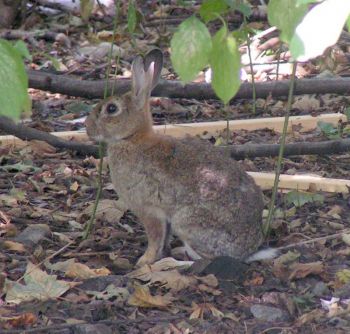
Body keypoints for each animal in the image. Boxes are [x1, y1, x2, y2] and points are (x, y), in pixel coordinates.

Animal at [86, 49, 266, 266]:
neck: (132, 138)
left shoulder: (149, 209)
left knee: (205, 260)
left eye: (111, 109)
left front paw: (144, 261)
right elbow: (164, 238)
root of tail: (247, 251)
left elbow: (155, 237)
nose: (87, 129)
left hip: (187, 222)